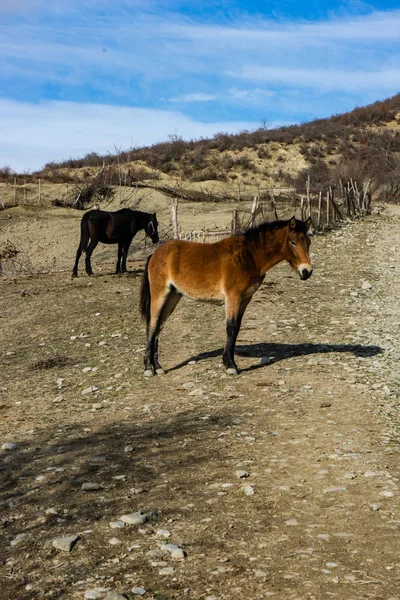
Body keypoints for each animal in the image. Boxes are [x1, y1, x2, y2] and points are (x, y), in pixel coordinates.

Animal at [140, 216, 312, 376]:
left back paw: (158, 367)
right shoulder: (233, 297)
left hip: (173, 296)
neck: (248, 256)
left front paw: (229, 362)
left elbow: (236, 328)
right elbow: (231, 327)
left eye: (308, 242)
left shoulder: (245, 298)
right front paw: (230, 366)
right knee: (152, 325)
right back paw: (148, 368)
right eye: (293, 242)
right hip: (160, 294)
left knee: (159, 327)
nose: (307, 272)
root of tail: (155, 254)